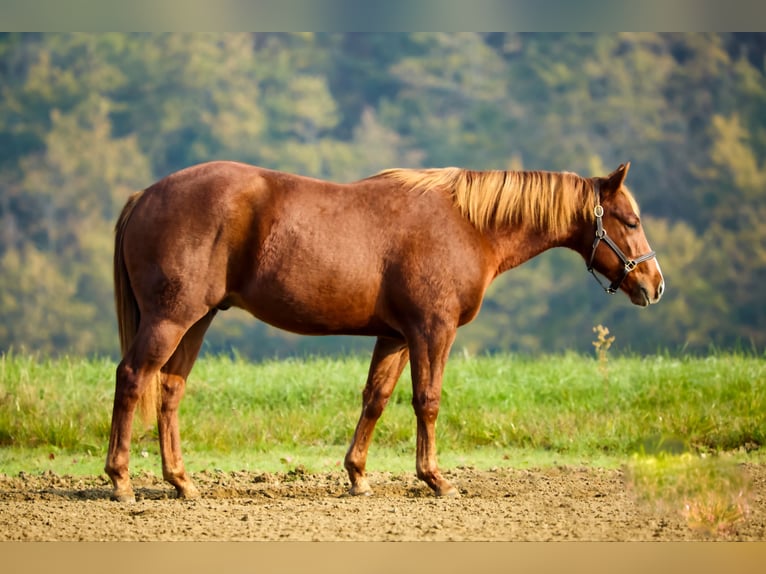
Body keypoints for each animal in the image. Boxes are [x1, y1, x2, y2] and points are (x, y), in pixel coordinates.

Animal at [105, 160, 664, 502]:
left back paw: (182, 483)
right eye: (630, 220)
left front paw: (357, 476)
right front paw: (435, 478)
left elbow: (375, 399)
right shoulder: (432, 331)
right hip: (171, 319)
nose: (655, 285)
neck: (468, 225)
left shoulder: (396, 336)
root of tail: (144, 196)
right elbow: (427, 401)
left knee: (170, 389)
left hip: (196, 320)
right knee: (132, 379)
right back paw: (121, 480)